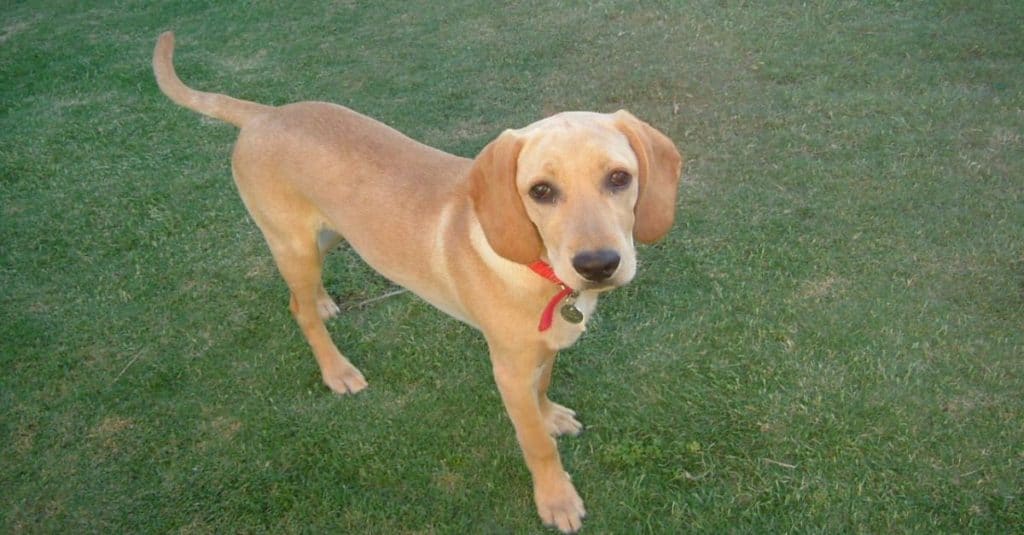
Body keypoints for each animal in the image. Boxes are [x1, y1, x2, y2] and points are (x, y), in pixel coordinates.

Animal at [151, 32, 679, 528]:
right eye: (541, 191)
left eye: (619, 178)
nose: (598, 264)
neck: (539, 271)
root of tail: (265, 115)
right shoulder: (507, 369)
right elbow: (535, 444)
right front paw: (556, 499)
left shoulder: (543, 347)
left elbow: (544, 385)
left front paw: (550, 415)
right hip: (293, 243)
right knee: (297, 310)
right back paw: (336, 369)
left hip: (332, 233)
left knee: (303, 293)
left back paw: (321, 302)